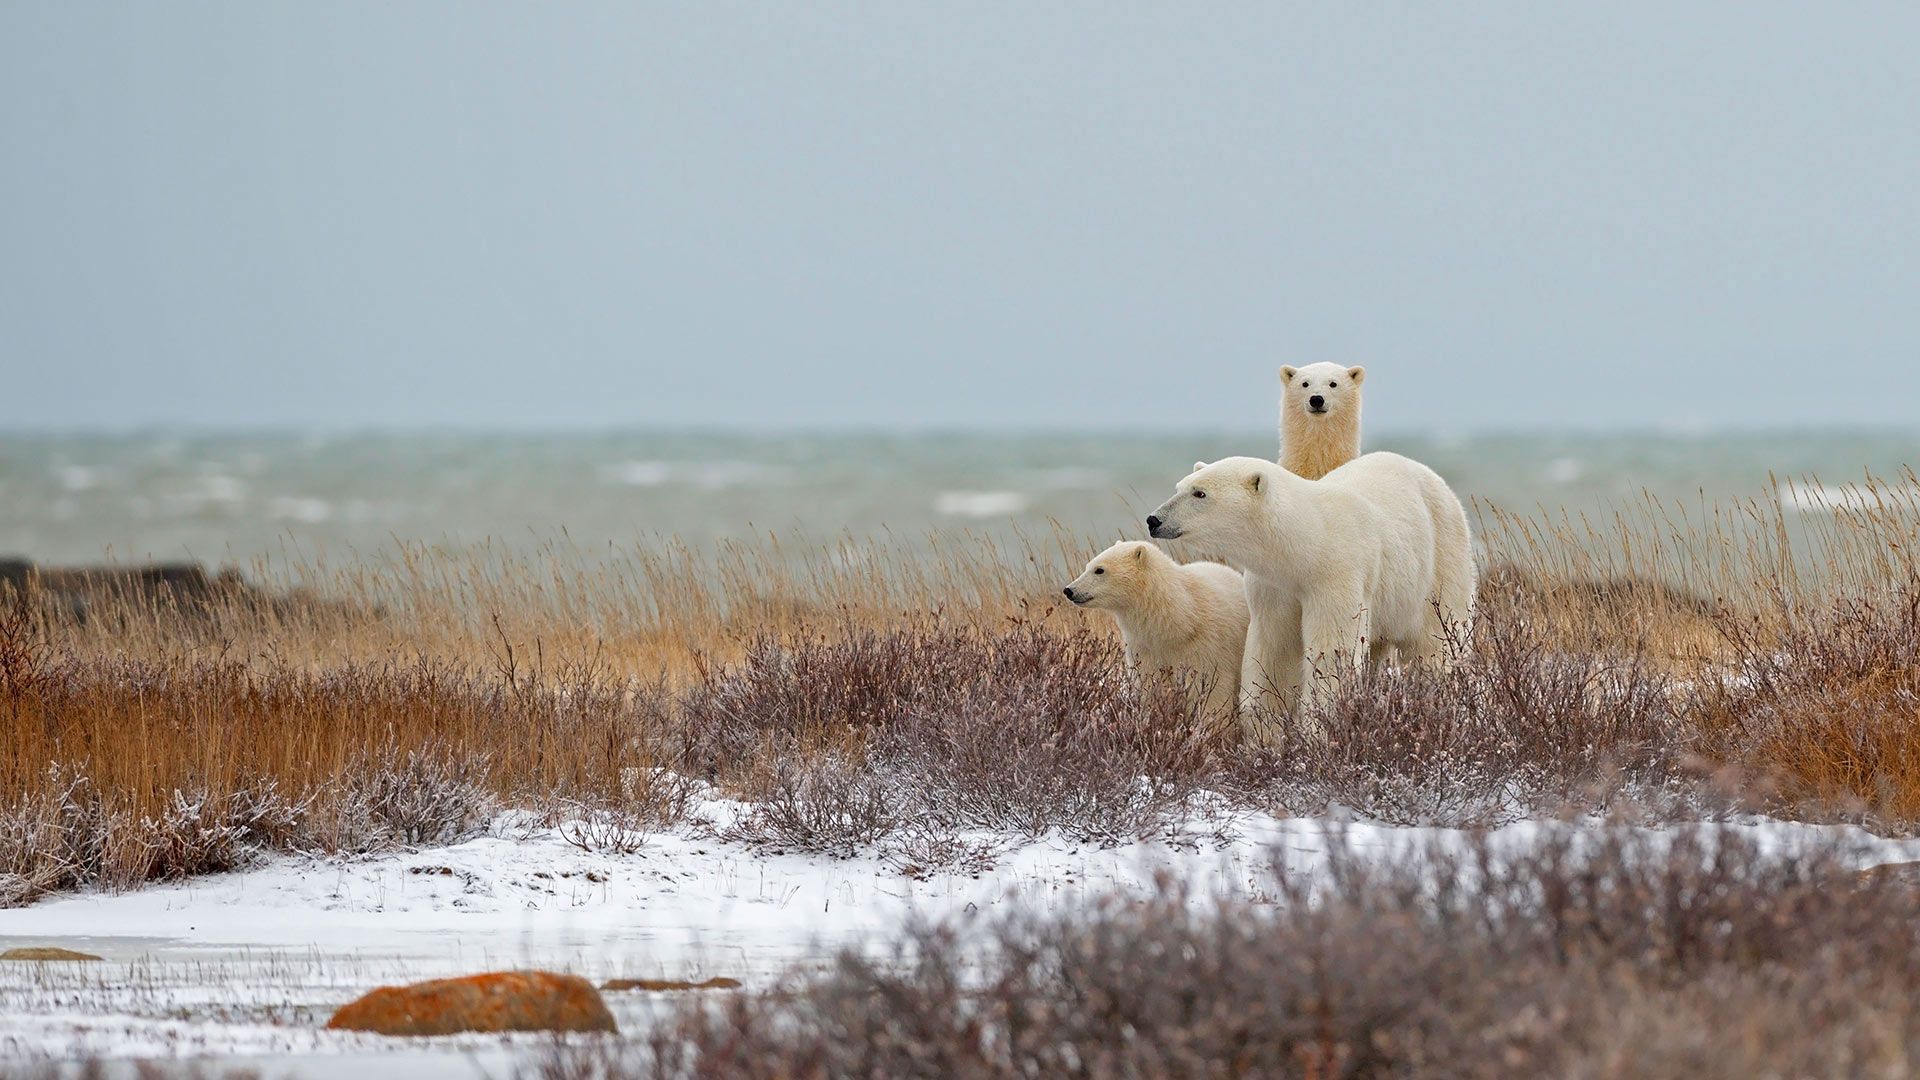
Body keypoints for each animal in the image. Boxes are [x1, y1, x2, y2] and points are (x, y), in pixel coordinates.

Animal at [1059, 538, 1251, 714]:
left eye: (1099, 570)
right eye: (1088, 566)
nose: (1069, 590)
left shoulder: (1207, 647)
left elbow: (1210, 691)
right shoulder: (1145, 648)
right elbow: (1150, 686)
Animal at [1144, 449, 1474, 726]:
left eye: (1200, 493)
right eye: (1180, 487)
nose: (1154, 519)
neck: (1310, 544)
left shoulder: (1337, 575)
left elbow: (1331, 651)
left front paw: (1317, 725)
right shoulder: (1274, 586)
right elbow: (1274, 650)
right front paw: (1263, 729)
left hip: (1440, 561)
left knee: (1436, 645)